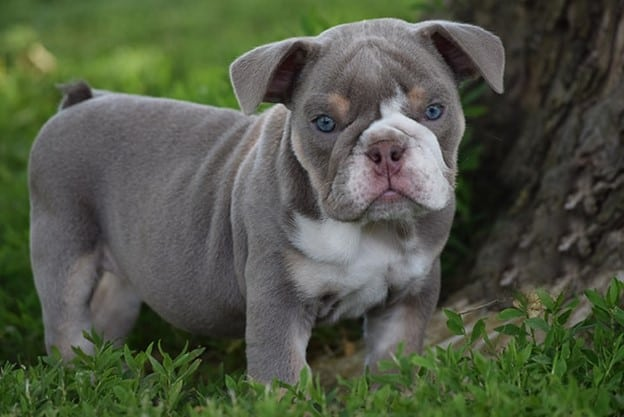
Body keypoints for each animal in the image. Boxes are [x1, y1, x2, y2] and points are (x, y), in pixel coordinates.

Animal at [31, 19, 504, 384]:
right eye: (324, 123)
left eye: (434, 111)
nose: (386, 146)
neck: (370, 230)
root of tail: (79, 103)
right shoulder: (279, 300)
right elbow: (284, 376)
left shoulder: (409, 295)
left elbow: (394, 361)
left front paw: (395, 396)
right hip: (64, 245)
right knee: (67, 324)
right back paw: (86, 379)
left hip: (120, 283)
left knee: (102, 319)